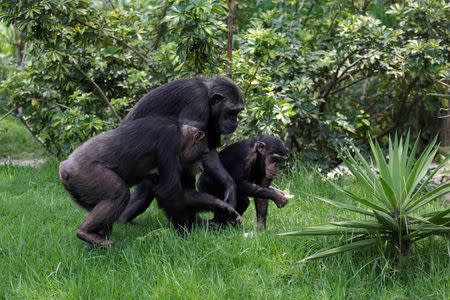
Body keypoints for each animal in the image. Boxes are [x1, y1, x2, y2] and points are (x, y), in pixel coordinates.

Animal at [60, 115, 243, 246]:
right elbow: (169, 192)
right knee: (119, 193)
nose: (201, 167)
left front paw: (224, 207)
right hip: (88, 174)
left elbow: (184, 193)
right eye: (203, 152)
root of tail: (64, 168)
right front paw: (186, 232)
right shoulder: (168, 143)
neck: (180, 136)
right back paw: (85, 232)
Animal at [118, 76, 243, 224]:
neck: (208, 96)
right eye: (231, 112)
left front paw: (230, 189)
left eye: (237, 112)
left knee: (144, 194)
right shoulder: (197, 103)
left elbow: (209, 150)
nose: (234, 120)